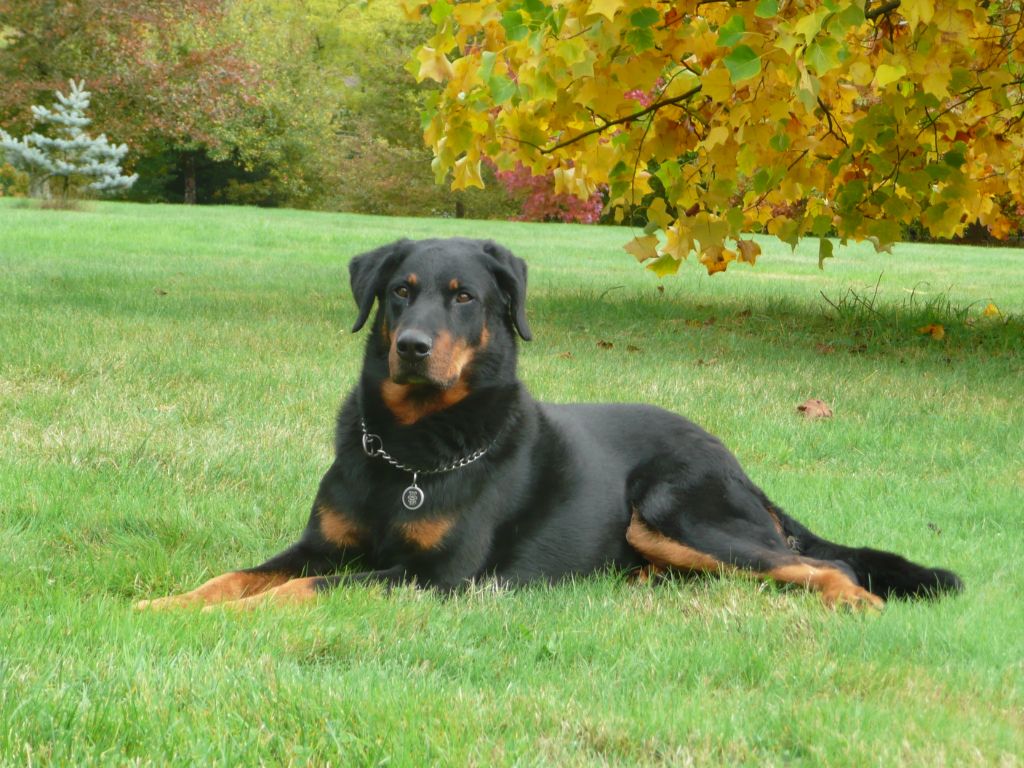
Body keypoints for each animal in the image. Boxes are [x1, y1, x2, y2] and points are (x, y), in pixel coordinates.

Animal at [140, 237, 962, 610]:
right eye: (401, 291)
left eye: (464, 296)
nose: (412, 347)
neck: (411, 450)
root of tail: (736, 464)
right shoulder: (319, 544)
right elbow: (235, 576)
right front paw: (165, 605)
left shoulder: (436, 578)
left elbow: (301, 591)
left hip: (676, 515)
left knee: (822, 565)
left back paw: (854, 602)